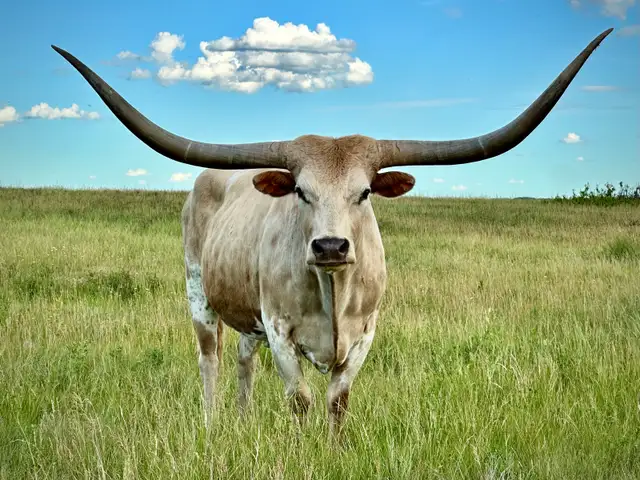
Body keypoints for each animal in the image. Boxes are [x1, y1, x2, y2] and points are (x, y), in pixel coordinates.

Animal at [52, 28, 612, 436]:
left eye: (363, 193)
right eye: (301, 191)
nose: (330, 246)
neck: (333, 291)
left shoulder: (365, 334)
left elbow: (338, 402)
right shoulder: (280, 331)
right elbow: (300, 400)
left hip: (247, 316)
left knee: (242, 360)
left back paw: (242, 423)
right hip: (198, 295)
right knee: (210, 359)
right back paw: (213, 428)